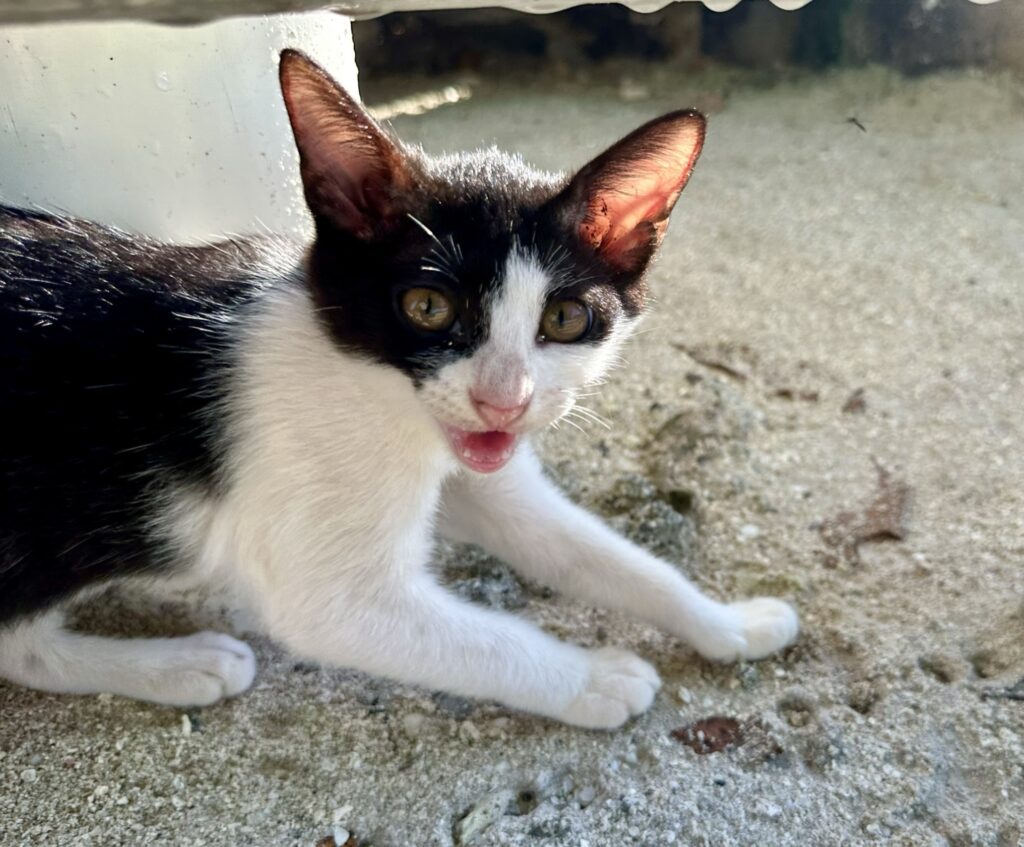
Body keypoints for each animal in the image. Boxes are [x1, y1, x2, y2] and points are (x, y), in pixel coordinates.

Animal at [0, 51, 798, 729]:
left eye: (567, 319)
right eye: (427, 307)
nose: (504, 401)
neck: (374, 389)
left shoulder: (482, 468)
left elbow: (585, 550)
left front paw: (727, 622)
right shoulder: (334, 584)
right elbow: (468, 636)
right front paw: (592, 678)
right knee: (17, 643)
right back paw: (179, 663)